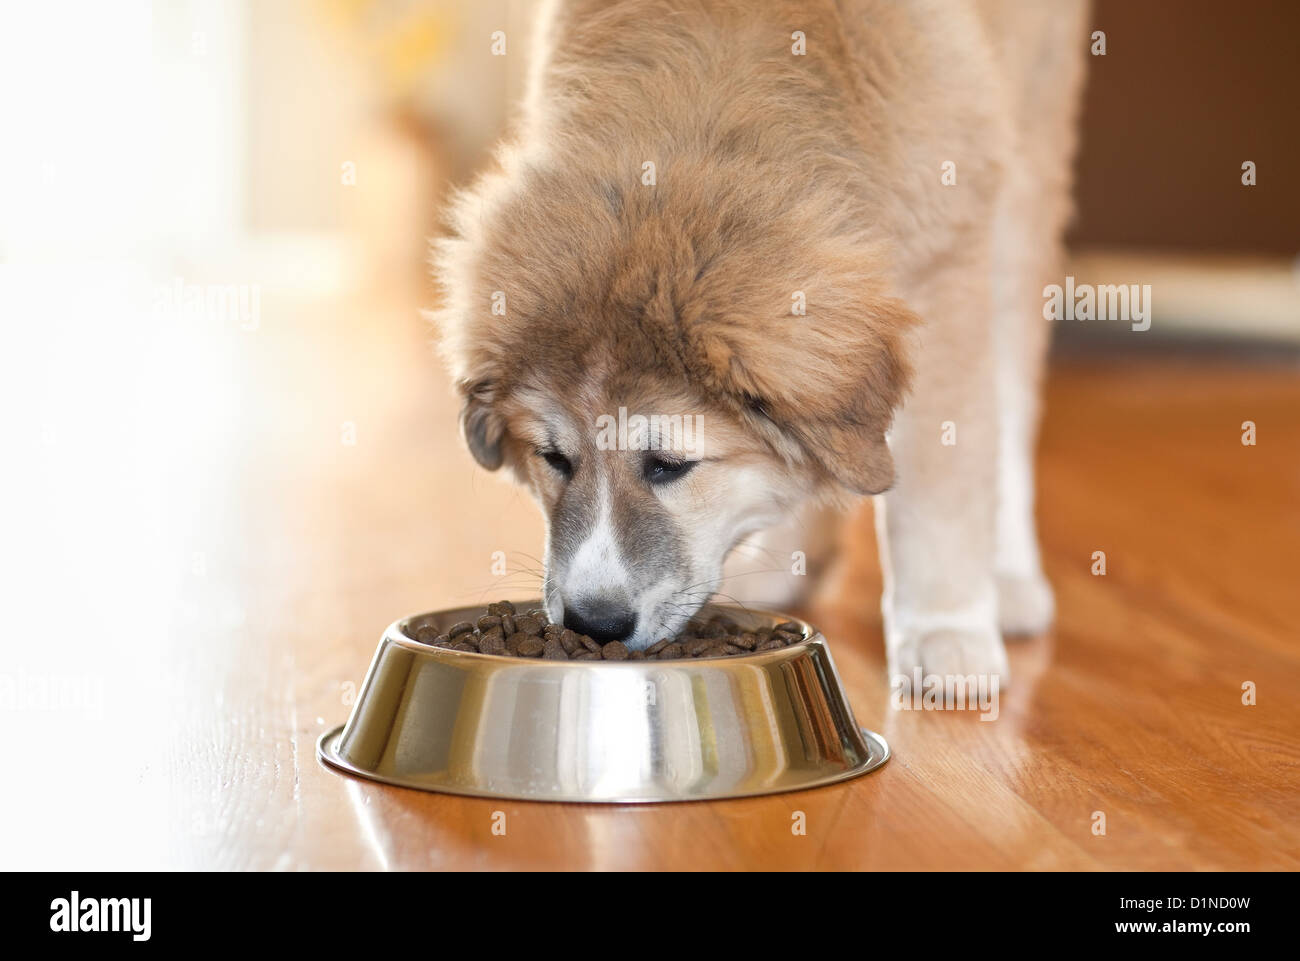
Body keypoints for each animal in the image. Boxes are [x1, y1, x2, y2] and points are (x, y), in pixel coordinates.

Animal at [434, 0, 1086, 686]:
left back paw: (1009, 579)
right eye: (554, 458)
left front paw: (946, 632)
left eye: (670, 465)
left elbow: (941, 492)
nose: (595, 625)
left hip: (1026, 173)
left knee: (1011, 394)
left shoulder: (944, 270)